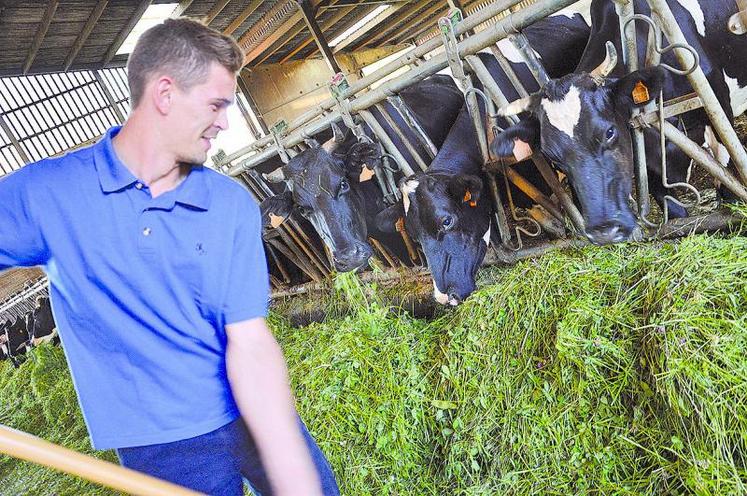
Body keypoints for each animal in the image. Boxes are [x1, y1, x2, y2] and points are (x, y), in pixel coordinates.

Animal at [490, 0, 747, 244]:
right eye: (552, 158)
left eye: (609, 132)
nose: (603, 232)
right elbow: (672, 209)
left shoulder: (716, 103)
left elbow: (728, 172)